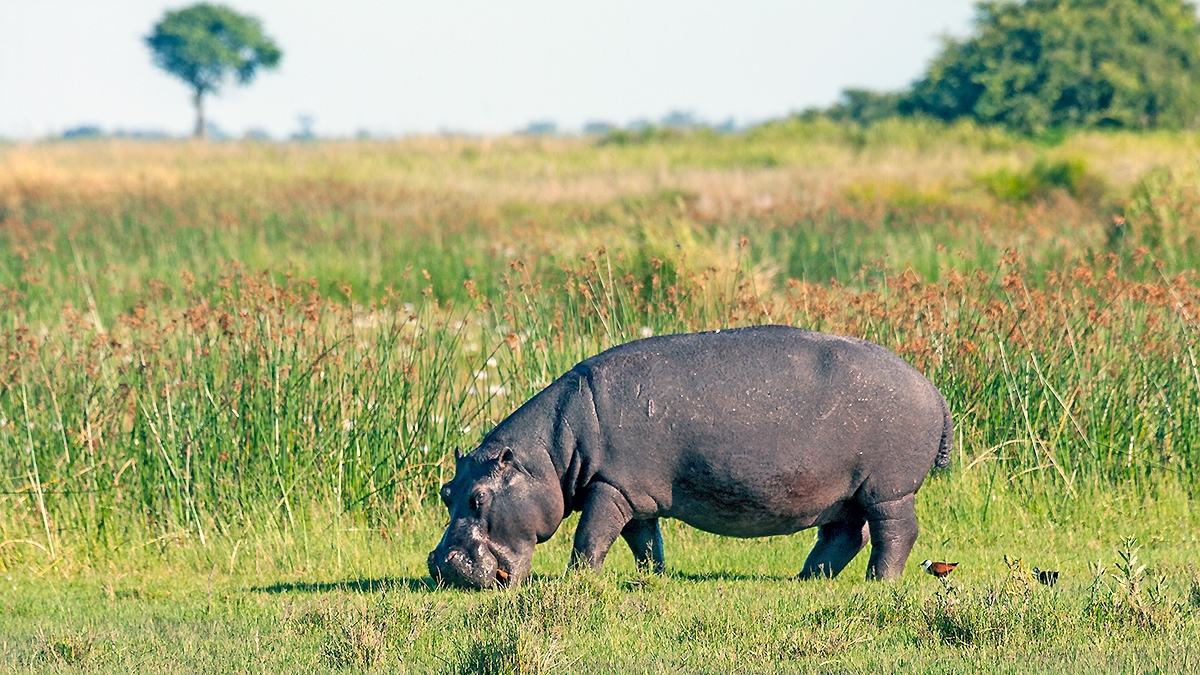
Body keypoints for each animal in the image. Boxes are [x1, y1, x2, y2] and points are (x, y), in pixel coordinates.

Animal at [428, 325, 952, 588]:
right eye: (446, 491)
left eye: (478, 498)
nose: (442, 565)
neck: (549, 455)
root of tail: (934, 389)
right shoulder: (634, 494)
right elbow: (644, 541)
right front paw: (655, 578)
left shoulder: (610, 488)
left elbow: (590, 537)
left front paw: (576, 582)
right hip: (844, 492)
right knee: (845, 534)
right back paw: (807, 578)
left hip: (888, 489)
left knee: (895, 533)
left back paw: (879, 583)